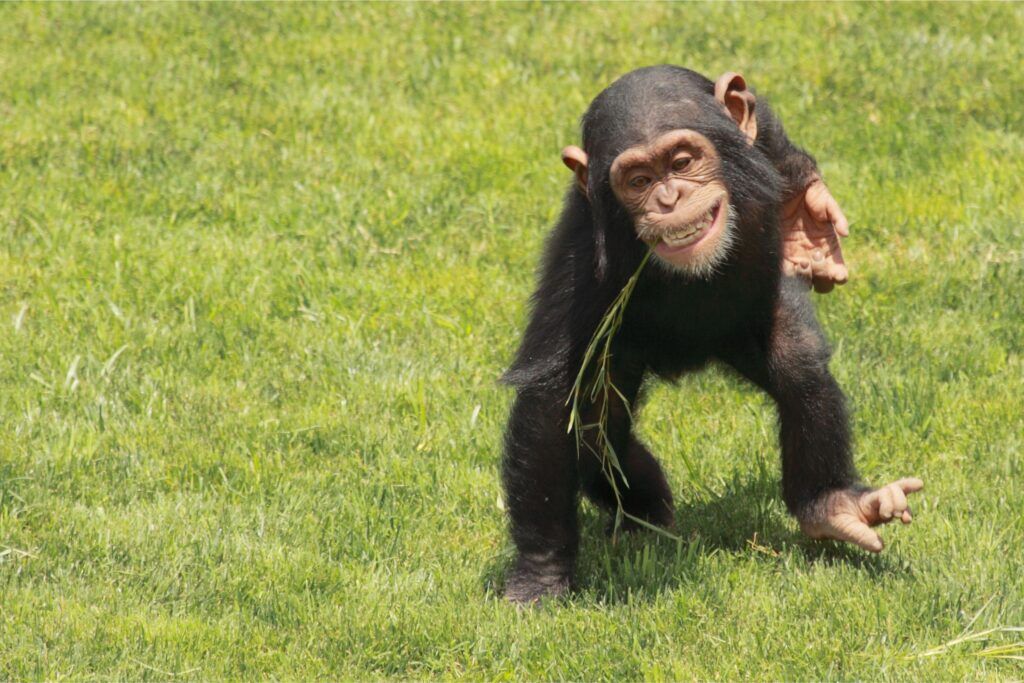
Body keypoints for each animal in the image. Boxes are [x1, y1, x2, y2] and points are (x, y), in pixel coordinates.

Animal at [500, 66, 923, 604]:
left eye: (682, 162)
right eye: (638, 181)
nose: (668, 198)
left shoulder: (751, 150)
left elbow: (759, 130)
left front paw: (805, 211)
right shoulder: (579, 267)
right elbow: (553, 400)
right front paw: (540, 575)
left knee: (798, 364)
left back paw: (831, 504)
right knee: (597, 430)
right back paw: (646, 514)